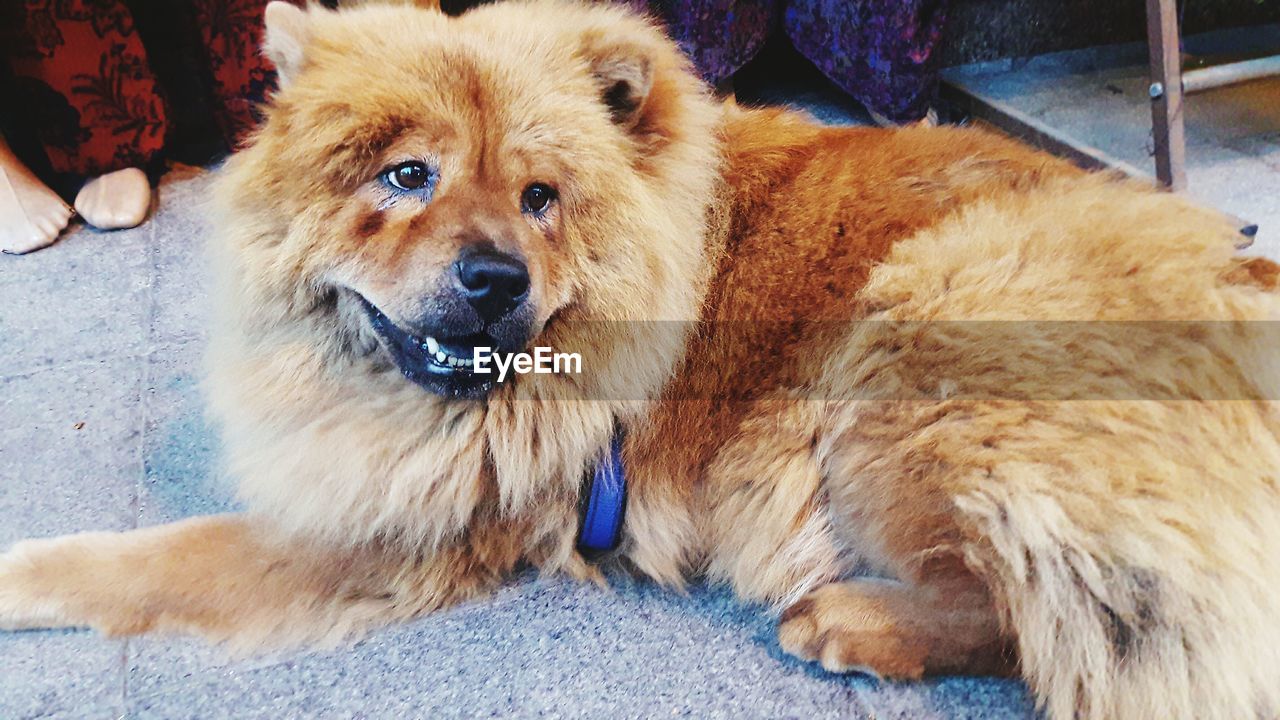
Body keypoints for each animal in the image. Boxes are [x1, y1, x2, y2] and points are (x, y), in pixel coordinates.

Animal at [2, 2, 1280, 712]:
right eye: (405, 177)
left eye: (538, 197)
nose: (494, 277)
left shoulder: (382, 526)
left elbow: (140, 560)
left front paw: (26, 573)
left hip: (903, 343)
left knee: (1049, 618)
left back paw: (847, 620)